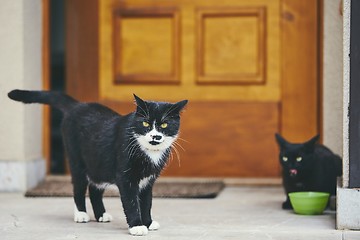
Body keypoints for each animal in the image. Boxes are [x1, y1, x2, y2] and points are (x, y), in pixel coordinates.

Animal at [7, 89, 188, 235]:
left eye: (164, 124)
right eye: (145, 123)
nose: (155, 136)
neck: (147, 152)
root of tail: (77, 105)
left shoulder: (148, 180)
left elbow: (146, 202)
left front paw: (148, 223)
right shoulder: (125, 178)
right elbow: (131, 202)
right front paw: (137, 226)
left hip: (99, 165)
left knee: (94, 188)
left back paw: (101, 214)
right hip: (77, 160)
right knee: (79, 187)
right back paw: (81, 214)